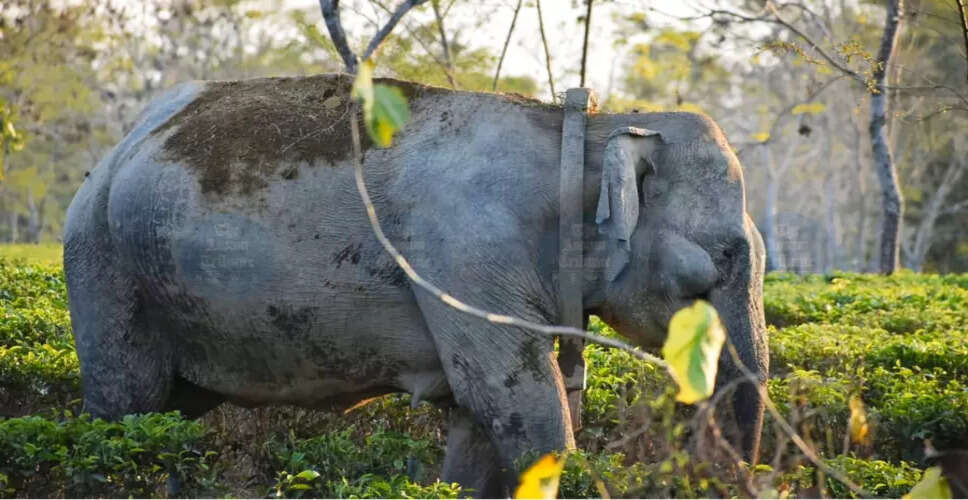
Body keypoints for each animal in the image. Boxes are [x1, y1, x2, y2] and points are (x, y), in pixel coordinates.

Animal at [63, 73, 768, 496]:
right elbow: (521, 408)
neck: (588, 128)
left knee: (165, 419)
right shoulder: (465, 255)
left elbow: (476, 423)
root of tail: (120, 146)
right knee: (123, 410)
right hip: (102, 266)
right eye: (721, 258)